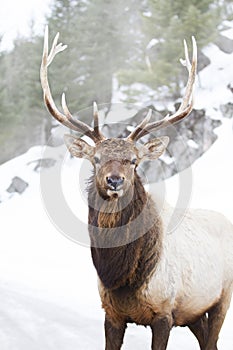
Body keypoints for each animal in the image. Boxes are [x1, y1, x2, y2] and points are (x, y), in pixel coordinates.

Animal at [40, 27, 233, 350]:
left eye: (134, 161)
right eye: (96, 159)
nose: (114, 180)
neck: (121, 278)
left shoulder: (165, 311)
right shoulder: (111, 313)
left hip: (222, 296)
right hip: (194, 312)